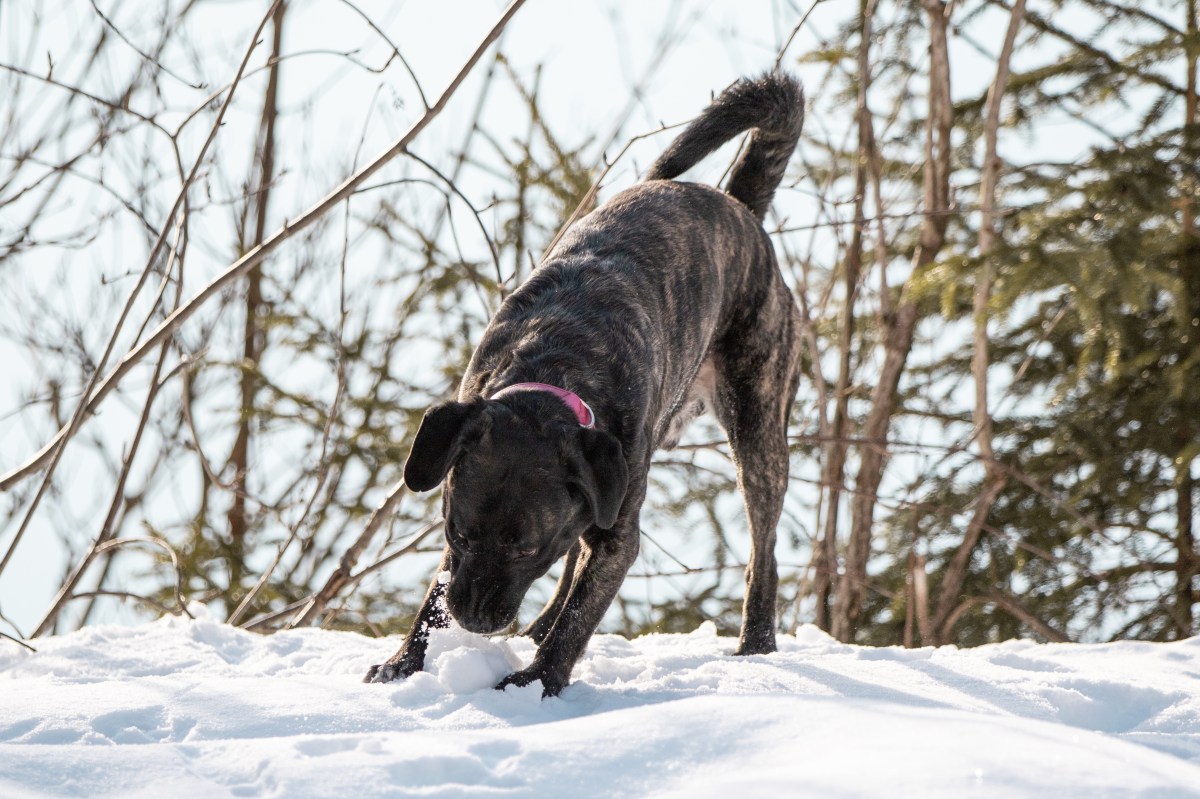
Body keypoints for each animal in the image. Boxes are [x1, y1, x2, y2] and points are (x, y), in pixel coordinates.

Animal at [364, 74, 806, 695]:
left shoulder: (620, 532)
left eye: (526, 546)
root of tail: (740, 209)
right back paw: (535, 627)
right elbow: (436, 597)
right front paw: (405, 663)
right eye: (459, 533)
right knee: (577, 553)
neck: (554, 364)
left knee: (761, 552)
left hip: (758, 432)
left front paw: (536, 683)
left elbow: (580, 616)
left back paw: (756, 644)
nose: (473, 619)